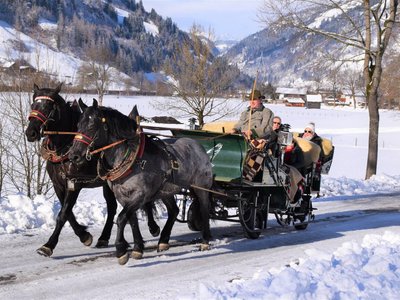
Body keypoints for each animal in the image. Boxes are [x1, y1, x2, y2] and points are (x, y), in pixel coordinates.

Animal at [23, 83, 159, 256]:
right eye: (33, 105)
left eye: (48, 106)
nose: (31, 132)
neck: (65, 145)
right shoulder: (58, 185)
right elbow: (67, 213)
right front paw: (84, 235)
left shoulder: (75, 183)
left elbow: (63, 214)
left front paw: (49, 245)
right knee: (112, 207)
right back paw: (106, 237)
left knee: (140, 201)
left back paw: (153, 227)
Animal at [69, 99, 214, 264]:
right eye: (78, 125)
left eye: (92, 125)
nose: (73, 155)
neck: (133, 158)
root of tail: (199, 146)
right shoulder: (123, 196)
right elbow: (131, 220)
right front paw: (138, 248)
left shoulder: (140, 194)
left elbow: (121, 218)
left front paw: (121, 250)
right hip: (166, 191)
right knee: (174, 211)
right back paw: (163, 241)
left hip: (201, 187)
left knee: (204, 209)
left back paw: (205, 241)